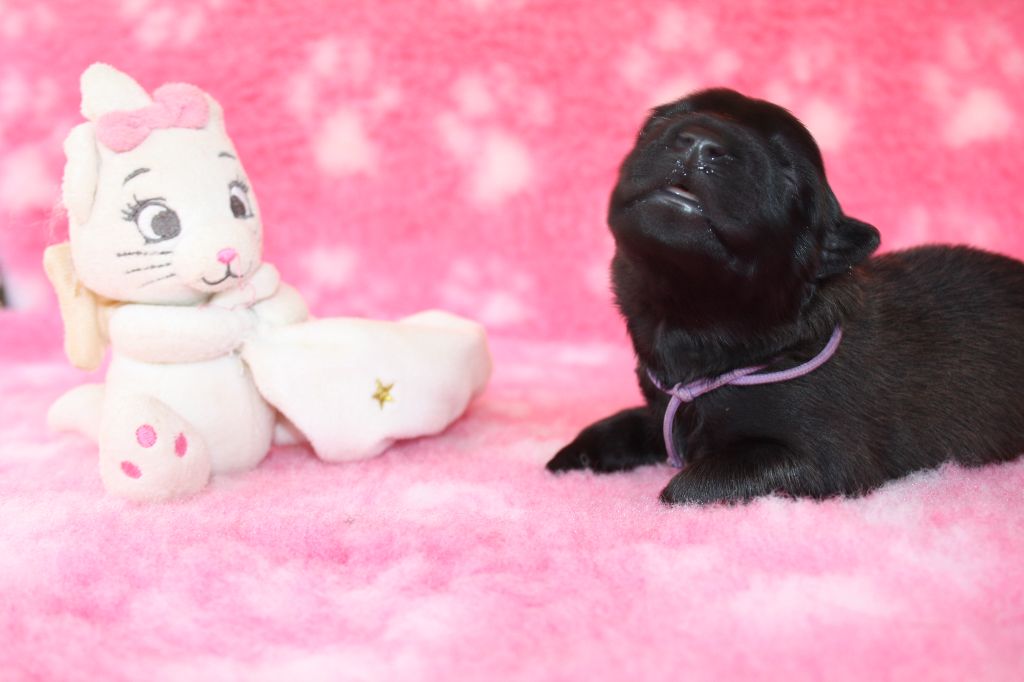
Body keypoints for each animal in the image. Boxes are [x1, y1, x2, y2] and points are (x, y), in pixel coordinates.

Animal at [548, 87, 1024, 501]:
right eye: (659, 122)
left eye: (784, 170)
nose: (700, 142)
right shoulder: (662, 407)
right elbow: (627, 423)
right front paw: (573, 456)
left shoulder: (823, 458)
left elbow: (694, 483)